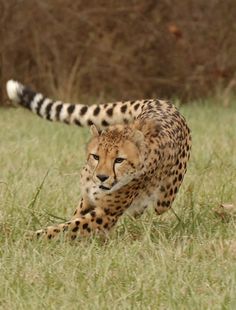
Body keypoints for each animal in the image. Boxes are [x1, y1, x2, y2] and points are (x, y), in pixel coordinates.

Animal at [5, 80, 191, 240]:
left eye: (119, 160)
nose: (102, 177)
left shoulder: (106, 214)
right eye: (96, 156)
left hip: (165, 198)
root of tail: (161, 102)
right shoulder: (87, 200)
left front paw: (27, 237)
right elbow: (73, 219)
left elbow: (66, 227)